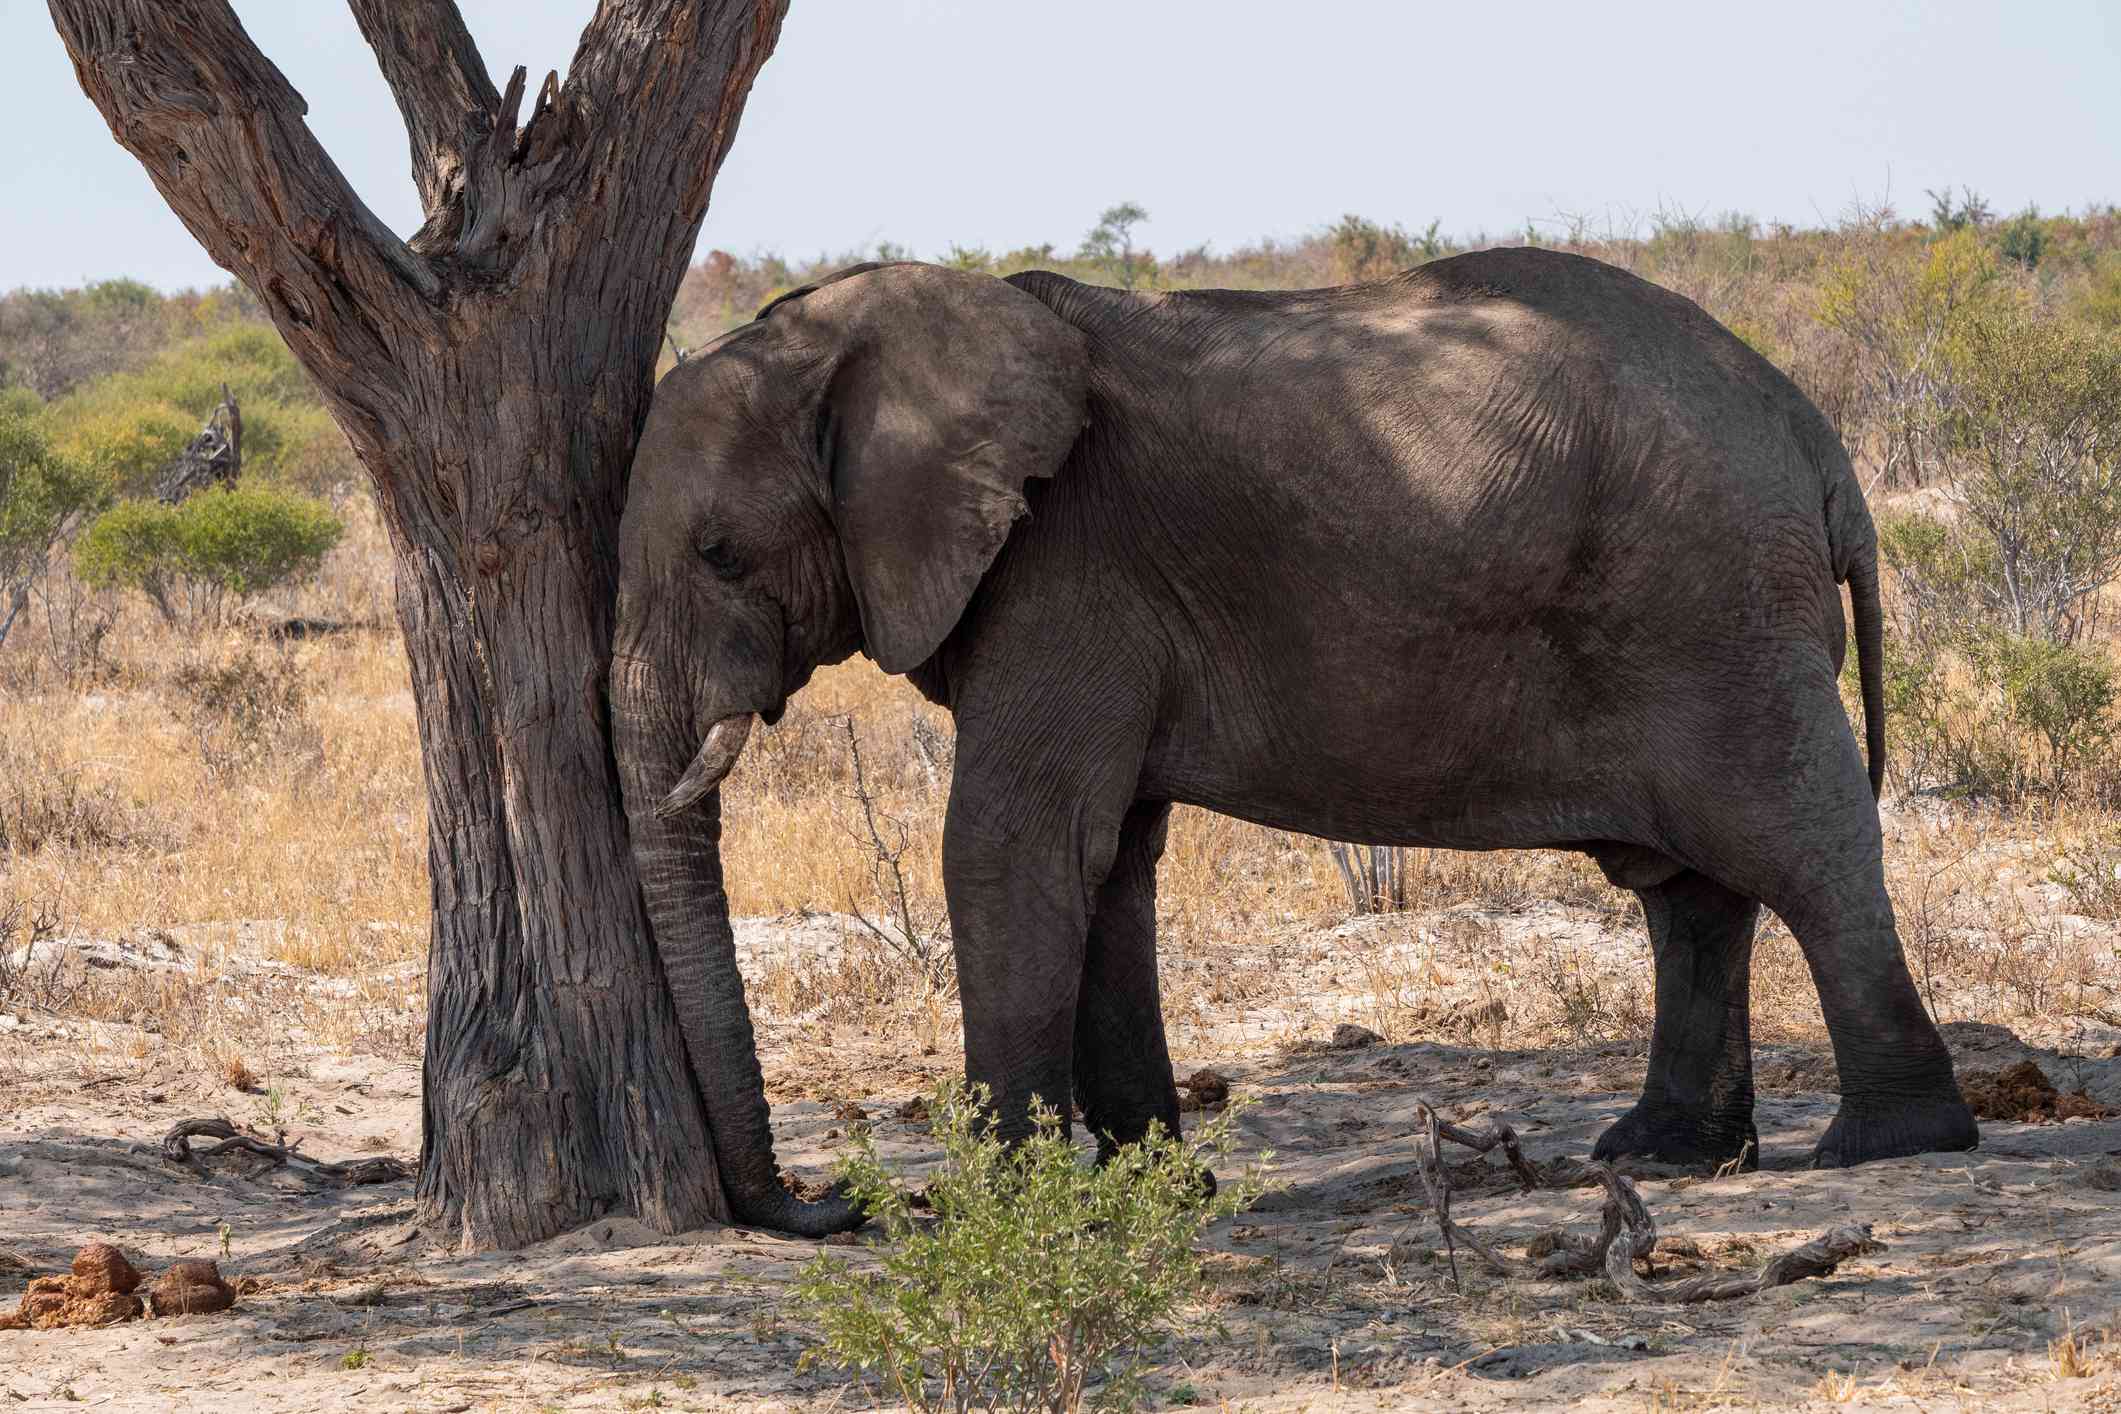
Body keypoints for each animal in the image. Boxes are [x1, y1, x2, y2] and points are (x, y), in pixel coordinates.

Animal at [606, 245, 1976, 1238]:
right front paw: (1157, 1189)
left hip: (1716, 605)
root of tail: (1814, 437)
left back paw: (1892, 1144)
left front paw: (999, 1204)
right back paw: (1670, 1152)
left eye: (722, 554)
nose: (834, 1204)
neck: (867, 329)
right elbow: (1110, 863)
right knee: (1690, 888)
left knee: (1799, 845)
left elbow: (1012, 843)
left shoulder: (1066, 573)